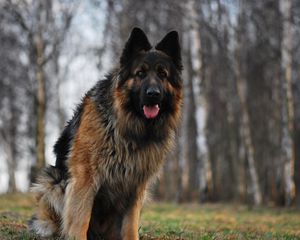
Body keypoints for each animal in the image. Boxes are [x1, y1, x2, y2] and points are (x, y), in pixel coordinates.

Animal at [28, 27, 183, 239]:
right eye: (140, 73)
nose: (153, 94)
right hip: (52, 181)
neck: (130, 129)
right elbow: (80, 219)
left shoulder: (136, 186)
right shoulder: (85, 178)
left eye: (162, 74)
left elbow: (130, 225)